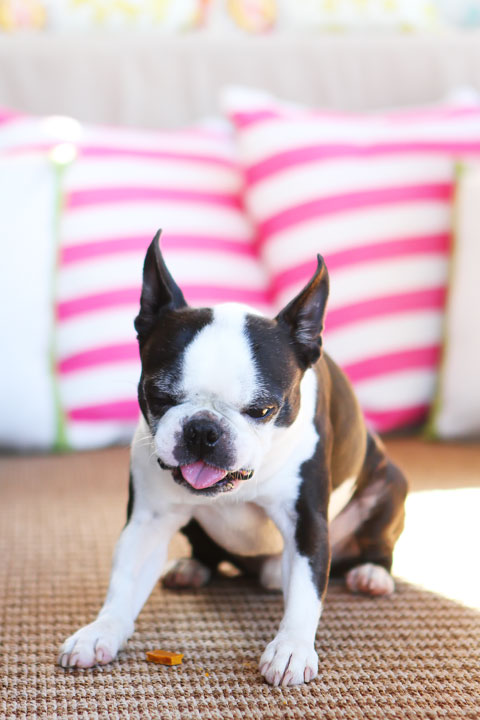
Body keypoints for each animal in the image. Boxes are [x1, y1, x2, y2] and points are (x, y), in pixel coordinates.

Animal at [58, 231, 406, 688]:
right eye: (159, 395)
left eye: (262, 410)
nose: (203, 430)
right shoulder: (148, 520)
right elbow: (124, 579)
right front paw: (101, 630)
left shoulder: (307, 521)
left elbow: (307, 590)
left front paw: (292, 648)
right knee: (206, 551)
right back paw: (192, 568)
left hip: (390, 485)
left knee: (379, 541)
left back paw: (372, 574)